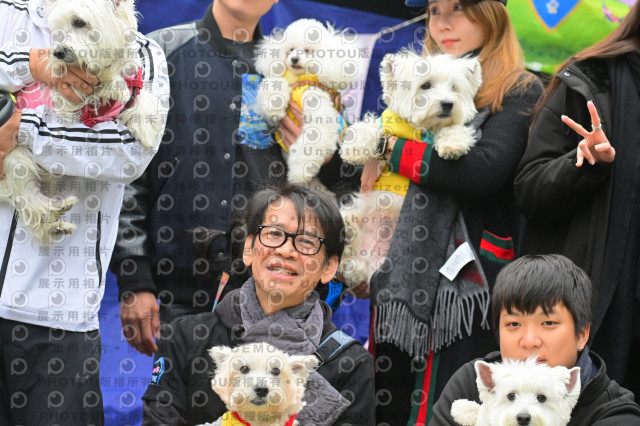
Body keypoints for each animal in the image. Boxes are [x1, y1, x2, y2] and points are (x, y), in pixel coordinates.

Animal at [254, 18, 361, 188]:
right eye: (291, 50)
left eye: (308, 50)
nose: (294, 59)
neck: (301, 78)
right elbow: (273, 85)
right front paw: (274, 108)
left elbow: (313, 140)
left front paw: (299, 173)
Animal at [336, 51, 482, 289]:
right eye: (426, 85)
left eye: (454, 87)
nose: (448, 104)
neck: (421, 129)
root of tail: (368, 259)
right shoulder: (382, 125)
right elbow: (369, 128)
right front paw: (354, 150)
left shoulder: (446, 128)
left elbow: (454, 130)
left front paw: (452, 146)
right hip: (356, 211)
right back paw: (348, 231)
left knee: (350, 265)